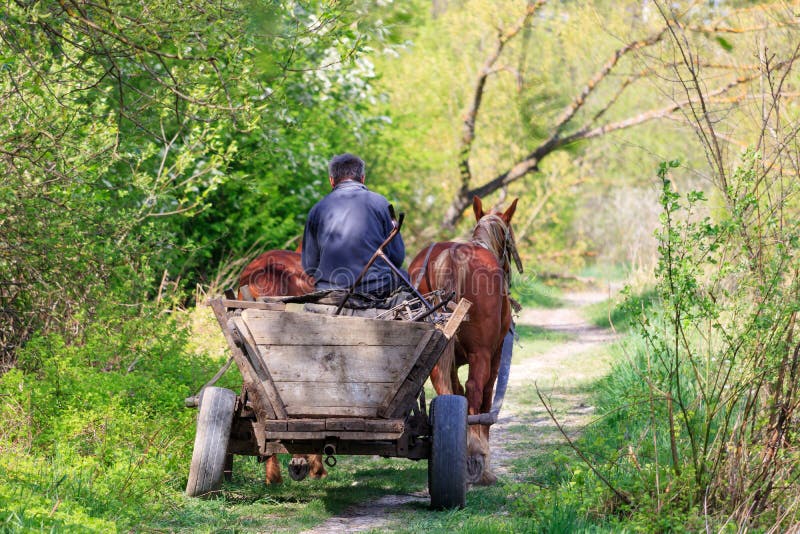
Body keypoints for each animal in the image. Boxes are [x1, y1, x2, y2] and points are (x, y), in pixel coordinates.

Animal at [410, 198, 520, 490]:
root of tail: (451, 256)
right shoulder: (494, 357)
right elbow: (484, 405)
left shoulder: (449, 360)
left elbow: (456, 391)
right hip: (482, 355)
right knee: (475, 392)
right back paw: (476, 456)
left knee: (445, 390)